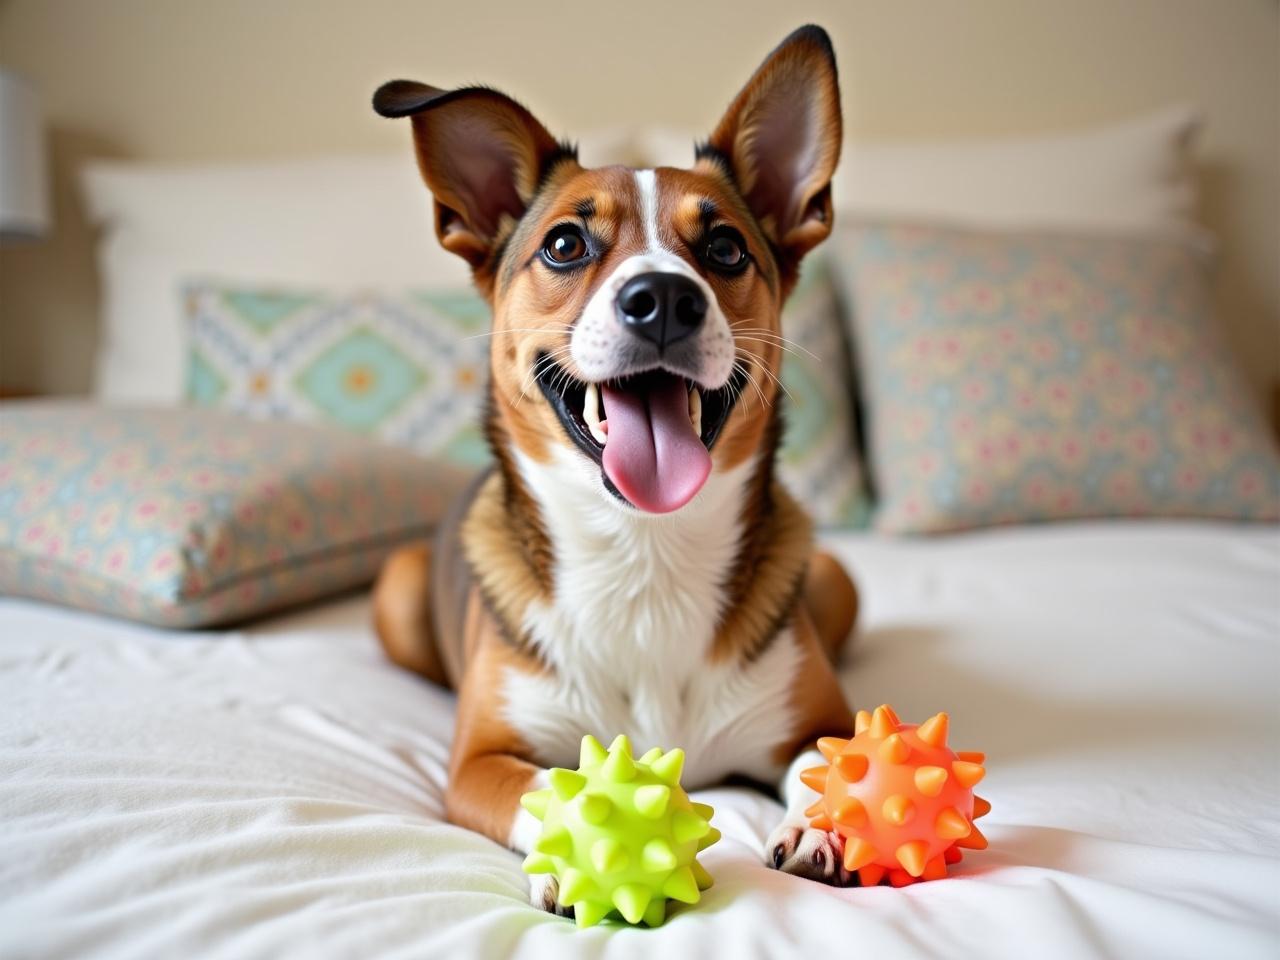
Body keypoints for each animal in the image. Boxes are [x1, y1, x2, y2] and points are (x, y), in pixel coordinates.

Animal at [373, 20, 870, 911]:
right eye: (565, 244)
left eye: (725, 247)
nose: (664, 300)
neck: (646, 553)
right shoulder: (476, 763)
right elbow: (541, 784)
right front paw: (577, 845)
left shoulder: (814, 717)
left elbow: (825, 757)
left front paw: (822, 823)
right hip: (397, 597)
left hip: (834, 581)